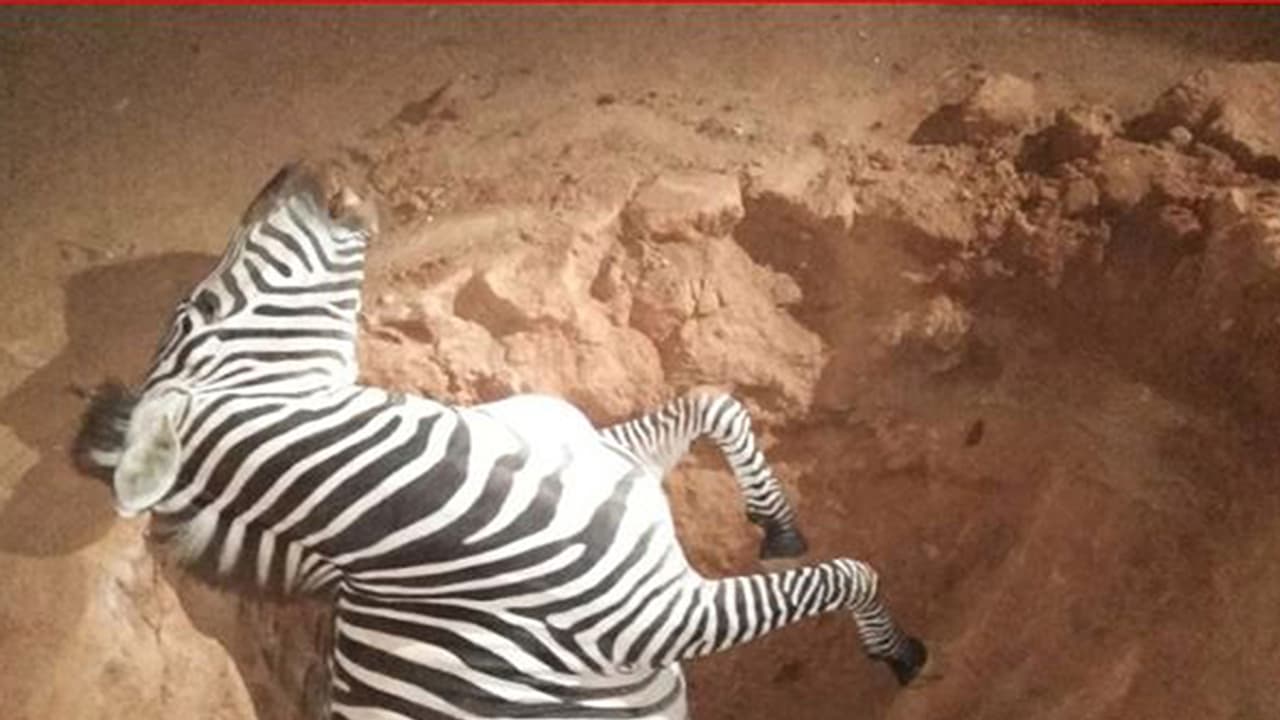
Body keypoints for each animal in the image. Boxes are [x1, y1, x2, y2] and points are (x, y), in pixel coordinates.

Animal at [73, 164, 927, 720]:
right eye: (202, 308)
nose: (290, 170)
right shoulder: (659, 617)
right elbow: (847, 575)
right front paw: (899, 655)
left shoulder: (613, 453)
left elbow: (717, 405)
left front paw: (777, 522)